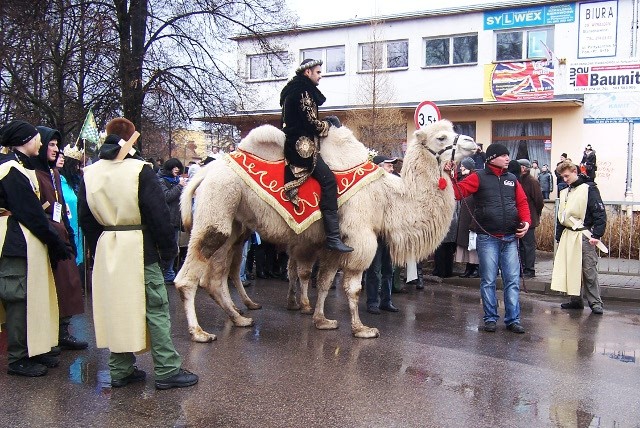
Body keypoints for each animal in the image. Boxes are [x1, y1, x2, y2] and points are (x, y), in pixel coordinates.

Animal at [175, 119, 476, 342]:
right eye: (441, 137)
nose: (472, 143)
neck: (387, 197)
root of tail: (206, 171)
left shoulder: (333, 242)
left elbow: (323, 281)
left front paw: (321, 320)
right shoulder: (360, 235)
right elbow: (352, 288)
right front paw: (361, 328)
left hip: (235, 223)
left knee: (216, 277)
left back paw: (239, 318)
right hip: (215, 210)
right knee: (189, 276)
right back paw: (199, 333)